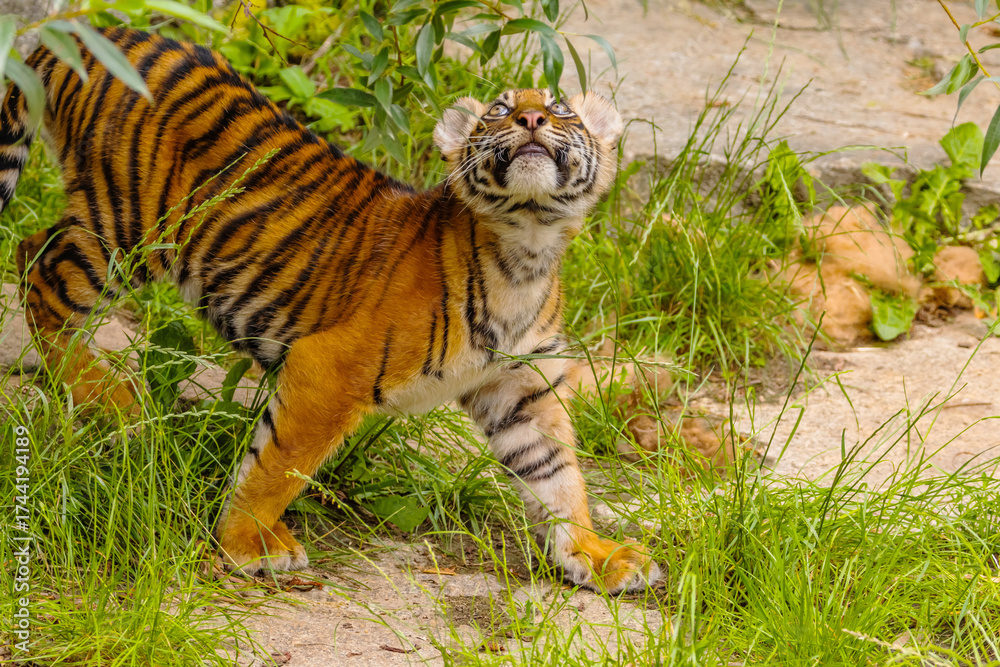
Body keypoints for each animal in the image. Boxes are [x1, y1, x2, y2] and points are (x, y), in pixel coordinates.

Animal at [3, 25, 661, 594]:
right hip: (131, 228)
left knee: (32, 251)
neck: (526, 248)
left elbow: (557, 476)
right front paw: (246, 544)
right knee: (37, 266)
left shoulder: (521, 390)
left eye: (561, 108)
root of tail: (99, 31)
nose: (530, 118)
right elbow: (279, 464)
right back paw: (110, 398)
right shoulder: (330, 369)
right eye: (499, 111)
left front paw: (595, 557)